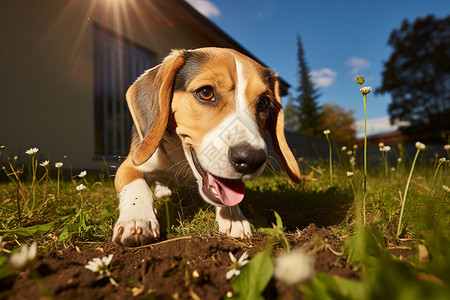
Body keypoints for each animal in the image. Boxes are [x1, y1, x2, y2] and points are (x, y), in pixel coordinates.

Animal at [114, 47, 300, 246]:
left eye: (264, 102)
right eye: (205, 92)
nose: (252, 159)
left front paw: (234, 217)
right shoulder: (129, 165)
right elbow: (136, 186)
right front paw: (136, 219)